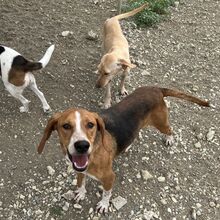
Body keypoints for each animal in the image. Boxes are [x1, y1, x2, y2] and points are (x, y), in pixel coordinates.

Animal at [37, 86, 210, 213]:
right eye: (66, 126)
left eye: (91, 125)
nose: (82, 145)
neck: (94, 153)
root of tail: (156, 88)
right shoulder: (80, 169)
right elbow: (81, 182)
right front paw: (81, 193)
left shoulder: (109, 177)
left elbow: (106, 192)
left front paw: (104, 204)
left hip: (161, 123)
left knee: (170, 129)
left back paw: (169, 139)